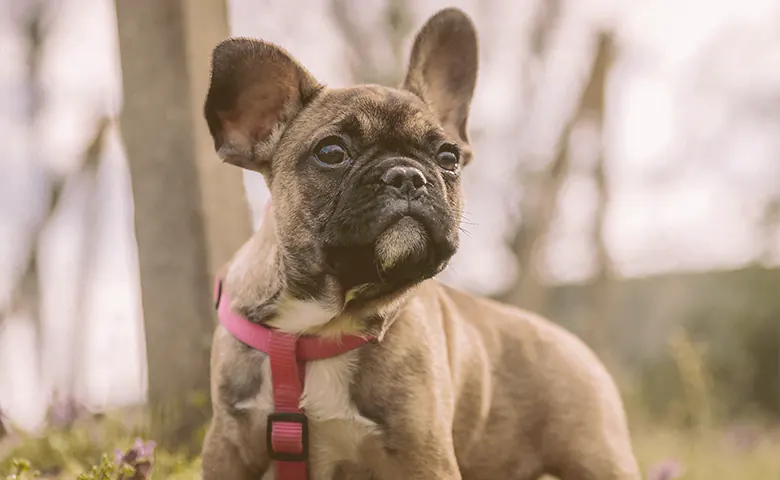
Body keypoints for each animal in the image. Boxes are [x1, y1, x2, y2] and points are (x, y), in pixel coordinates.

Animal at [201, 7, 640, 480]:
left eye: (448, 158)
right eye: (331, 152)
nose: (407, 175)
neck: (322, 322)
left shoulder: (422, 452)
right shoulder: (228, 445)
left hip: (597, 456)